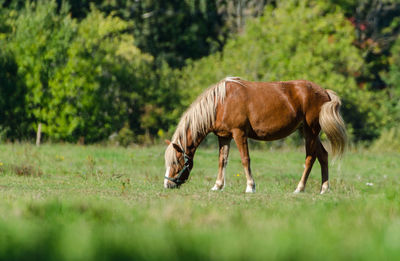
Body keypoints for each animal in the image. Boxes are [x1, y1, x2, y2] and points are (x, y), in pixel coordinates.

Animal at [164, 76, 346, 192]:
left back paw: (299, 188)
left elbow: (245, 159)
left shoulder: (239, 134)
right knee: (323, 155)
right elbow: (222, 160)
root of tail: (324, 91)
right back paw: (324, 188)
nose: (167, 185)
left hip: (311, 132)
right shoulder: (224, 136)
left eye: (176, 161)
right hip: (309, 132)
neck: (221, 102)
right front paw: (217, 186)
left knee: (310, 158)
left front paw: (250, 186)